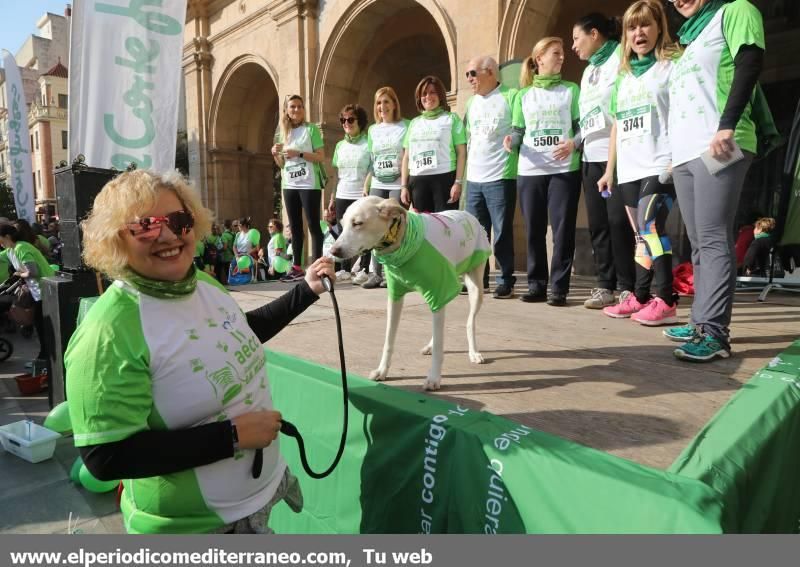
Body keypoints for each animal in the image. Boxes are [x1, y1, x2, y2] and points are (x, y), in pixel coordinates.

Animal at [328, 196, 490, 390]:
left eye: (358, 223)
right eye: (342, 225)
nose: (333, 251)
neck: (402, 242)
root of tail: (467, 214)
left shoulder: (438, 291)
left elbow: (440, 344)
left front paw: (434, 378)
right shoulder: (396, 297)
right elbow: (389, 340)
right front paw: (382, 371)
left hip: (475, 287)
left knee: (469, 322)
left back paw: (474, 352)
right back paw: (431, 345)